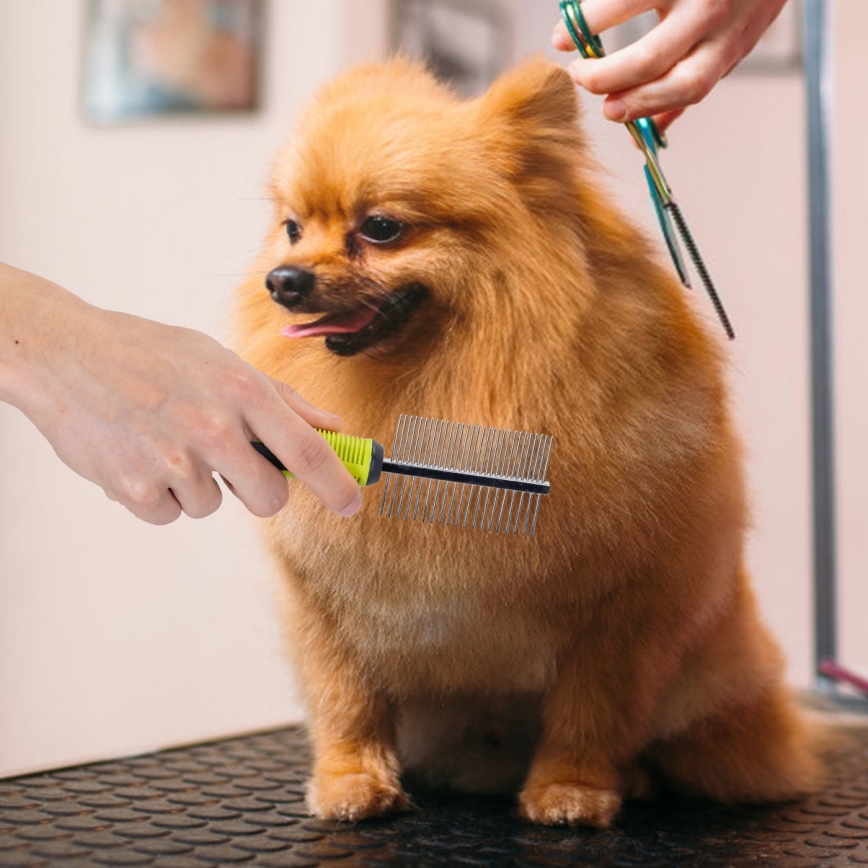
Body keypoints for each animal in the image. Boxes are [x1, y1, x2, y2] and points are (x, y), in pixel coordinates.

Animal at [236, 57, 820, 824]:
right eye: (293, 228)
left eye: (382, 227)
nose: (283, 280)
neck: (442, 383)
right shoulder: (324, 600)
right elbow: (346, 700)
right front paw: (350, 781)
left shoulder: (622, 610)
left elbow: (590, 711)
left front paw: (571, 789)